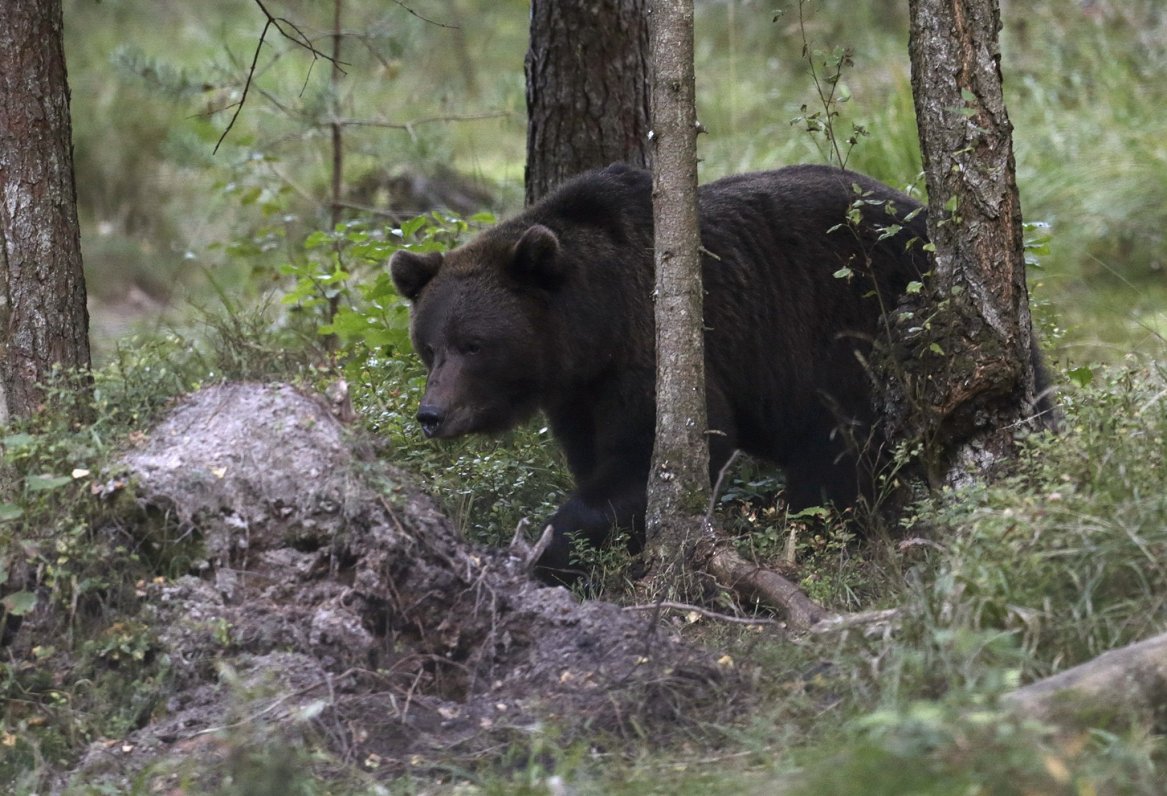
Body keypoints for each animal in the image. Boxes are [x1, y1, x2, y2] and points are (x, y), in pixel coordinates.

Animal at [389, 163, 934, 580]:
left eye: (474, 345)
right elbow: (594, 457)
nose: (431, 414)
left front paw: (548, 551)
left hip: (854, 328)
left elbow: (655, 454)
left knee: (837, 447)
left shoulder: (651, 356)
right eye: (429, 347)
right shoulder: (578, 395)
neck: (594, 327)